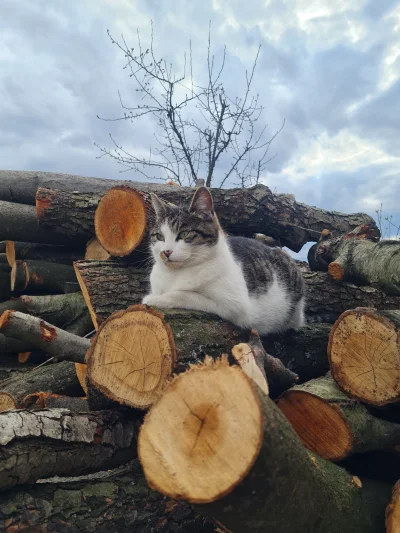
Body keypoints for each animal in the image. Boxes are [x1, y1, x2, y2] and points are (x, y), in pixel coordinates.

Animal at [142, 187, 304, 332]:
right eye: (159, 237)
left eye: (183, 234)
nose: (165, 252)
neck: (174, 274)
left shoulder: (234, 305)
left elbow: (184, 294)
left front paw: (156, 299)